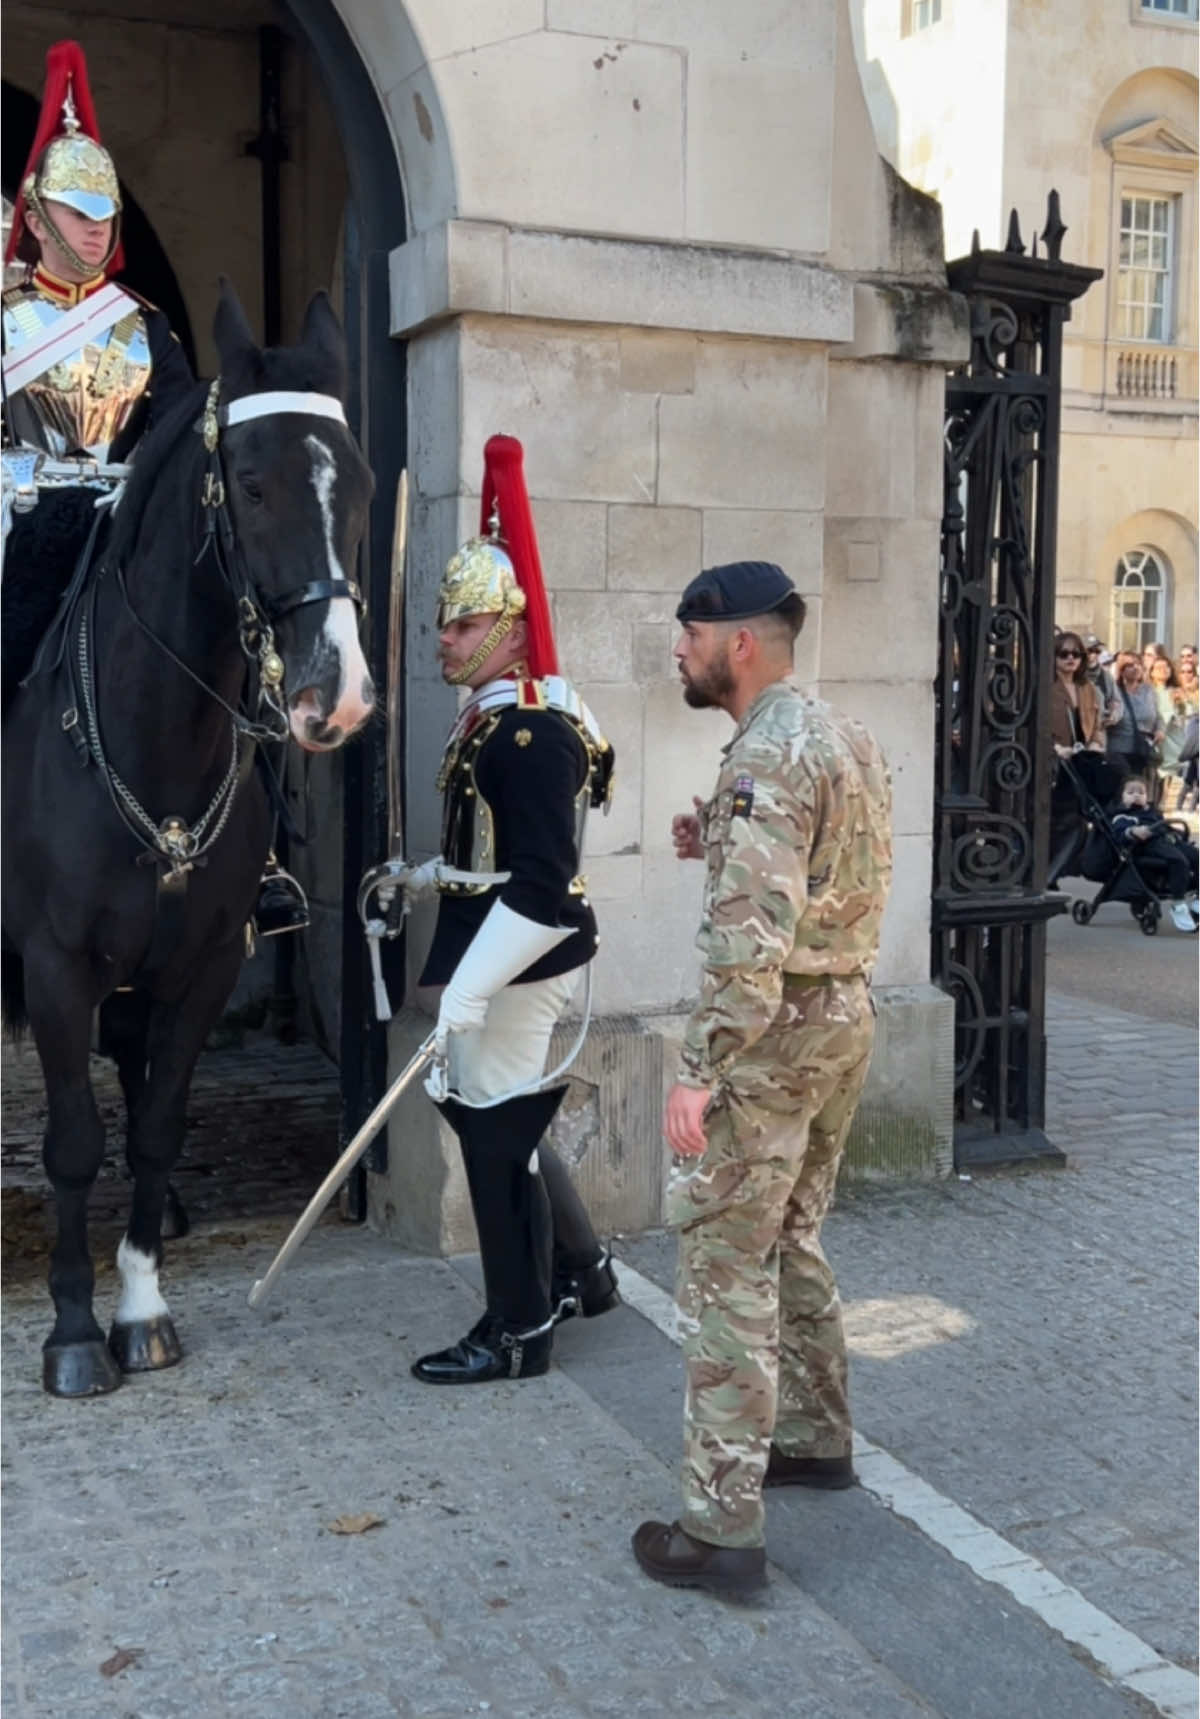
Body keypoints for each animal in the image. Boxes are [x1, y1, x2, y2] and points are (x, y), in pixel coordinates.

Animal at [1, 275, 374, 1388]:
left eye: (362, 483)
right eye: (249, 484)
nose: (335, 697)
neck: (154, 734)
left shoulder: (203, 960)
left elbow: (159, 1122)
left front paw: (140, 1304)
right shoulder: (55, 967)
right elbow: (73, 1142)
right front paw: (74, 1329)